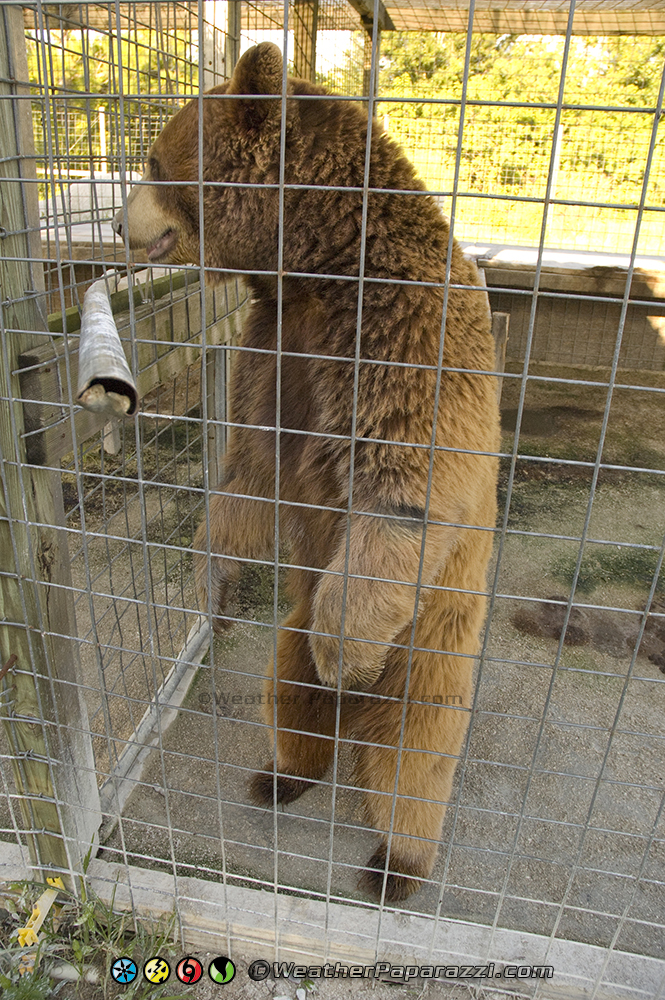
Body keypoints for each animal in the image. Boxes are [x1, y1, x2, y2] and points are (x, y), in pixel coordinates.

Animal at [113, 41, 500, 903]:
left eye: (153, 159)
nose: (118, 224)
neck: (314, 268)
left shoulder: (399, 328)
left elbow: (404, 485)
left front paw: (343, 653)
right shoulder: (272, 349)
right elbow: (248, 471)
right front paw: (215, 589)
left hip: (431, 638)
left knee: (412, 749)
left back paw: (395, 861)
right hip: (294, 617)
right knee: (288, 691)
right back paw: (283, 774)